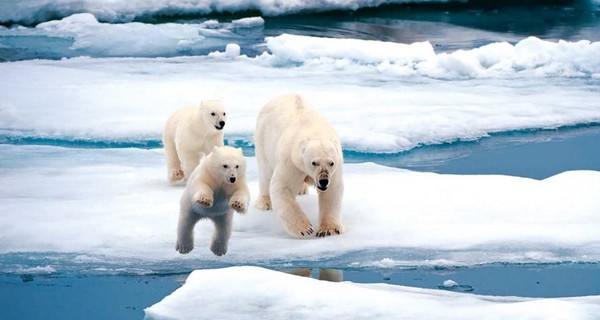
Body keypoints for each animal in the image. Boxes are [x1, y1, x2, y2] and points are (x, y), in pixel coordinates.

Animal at [254, 94, 344, 236]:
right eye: (314, 162)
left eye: (331, 163)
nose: (323, 181)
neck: (315, 131)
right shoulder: (292, 161)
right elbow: (282, 186)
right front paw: (305, 228)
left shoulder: (336, 167)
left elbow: (332, 191)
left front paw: (328, 229)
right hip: (263, 138)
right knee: (265, 172)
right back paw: (265, 202)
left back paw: (302, 189)